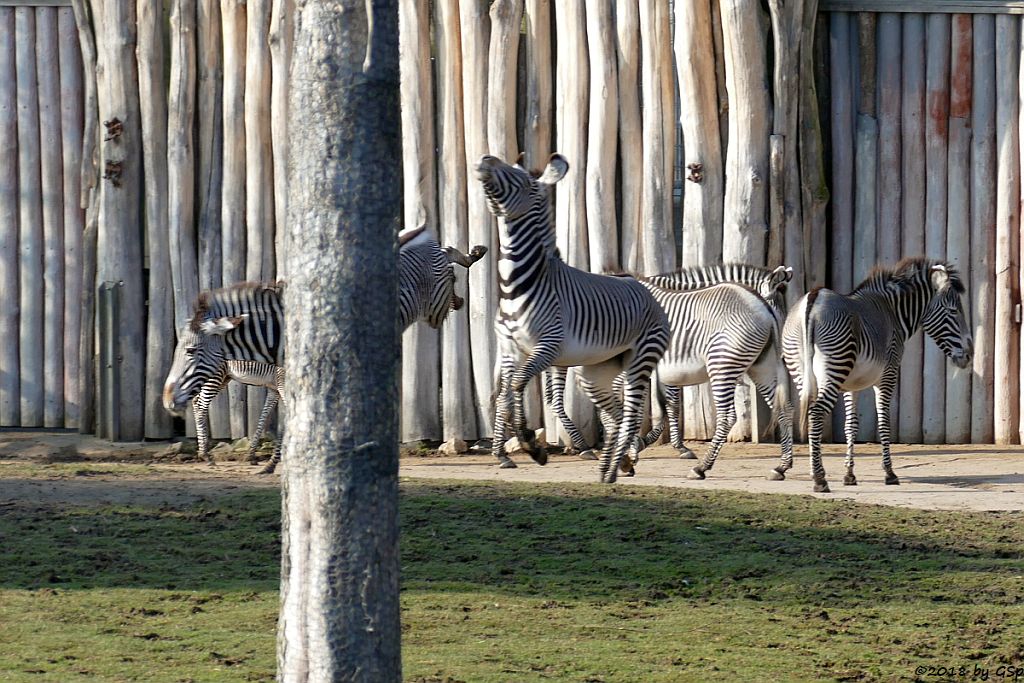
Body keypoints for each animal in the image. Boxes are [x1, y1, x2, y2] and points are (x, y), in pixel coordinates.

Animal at [473, 153, 667, 485]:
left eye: (523, 179)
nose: (486, 159)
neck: (516, 284)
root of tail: (643, 287)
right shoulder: (511, 350)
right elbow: (508, 392)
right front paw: (519, 447)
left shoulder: (548, 346)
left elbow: (518, 385)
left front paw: (531, 445)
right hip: (595, 371)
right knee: (615, 412)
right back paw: (620, 460)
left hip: (639, 359)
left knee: (629, 413)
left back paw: (613, 467)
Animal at [544, 264, 790, 462]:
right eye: (776, 313)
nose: (779, 354)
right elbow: (662, 406)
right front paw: (641, 444)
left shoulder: (669, 368)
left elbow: (670, 406)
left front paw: (662, 444)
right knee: (556, 400)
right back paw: (585, 447)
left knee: (555, 399)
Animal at [782, 260, 974, 491]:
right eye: (953, 311)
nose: (969, 354)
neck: (892, 312)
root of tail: (813, 297)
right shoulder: (888, 374)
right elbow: (884, 422)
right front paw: (889, 473)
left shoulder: (851, 385)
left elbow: (851, 425)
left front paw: (849, 475)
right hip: (834, 367)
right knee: (816, 413)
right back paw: (819, 478)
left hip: (802, 369)